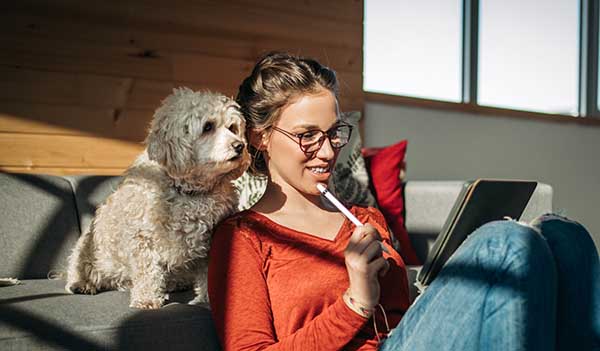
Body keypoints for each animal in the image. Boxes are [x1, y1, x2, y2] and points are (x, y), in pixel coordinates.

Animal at [62, 88, 246, 310]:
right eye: (208, 127)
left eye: (232, 127)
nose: (240, 146)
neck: (189, 193)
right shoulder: (142, 238)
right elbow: (147, 270)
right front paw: (147, 299)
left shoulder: (211, 241)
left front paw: (209, 301)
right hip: (86, 248)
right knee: (79, 267)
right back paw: (81, 284)